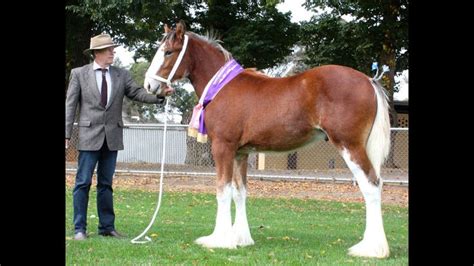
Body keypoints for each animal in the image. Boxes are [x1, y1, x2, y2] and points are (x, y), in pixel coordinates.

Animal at [144, 21, 392, 258]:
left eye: (168, 52)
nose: (149, 85)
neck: (222, 86)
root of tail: (368, 80)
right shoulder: (241, 153)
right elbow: (239, 192)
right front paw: (240, 238)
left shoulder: (223, 147)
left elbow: (223, 191)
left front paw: (219, 240)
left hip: (350, 145)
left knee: (370, 186)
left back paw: (371, 249)